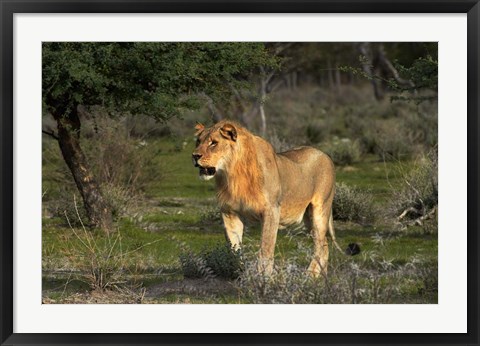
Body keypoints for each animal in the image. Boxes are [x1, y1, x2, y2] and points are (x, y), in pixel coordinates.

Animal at [193, 119, 346, 276]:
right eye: (198, 141)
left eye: (213, 143)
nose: (195, 156)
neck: (231, 174)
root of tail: (325, 154)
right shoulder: (229, 212)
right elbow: (234, 247)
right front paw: (240, 272)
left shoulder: (271, 210)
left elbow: (266, 247)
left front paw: (263, 276)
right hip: (308, 218)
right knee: (325, 245)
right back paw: (320, 275)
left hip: (320, 210)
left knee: (320, 245)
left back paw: (311, 274)